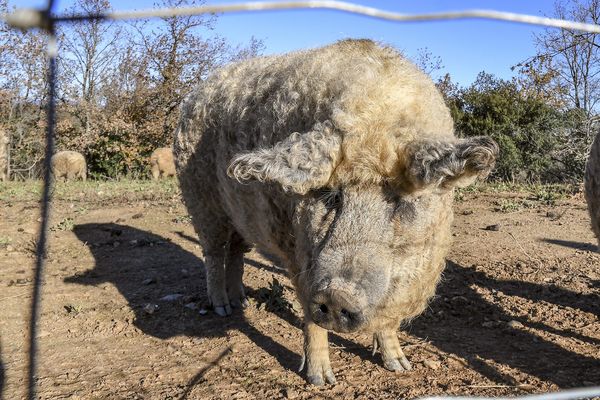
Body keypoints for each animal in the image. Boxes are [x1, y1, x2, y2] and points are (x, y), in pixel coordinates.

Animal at [172, 39, 496, 384]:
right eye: (331, 195)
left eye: (400, 200)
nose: (337, 295)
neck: (376, 106)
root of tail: (194, 94)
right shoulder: (298, 250)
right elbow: (310, 317)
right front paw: (320, 380)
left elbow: (387, 322)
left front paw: (399, 365)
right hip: (201, 201)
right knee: (214, 252)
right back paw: (222, 308)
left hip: (240, 216)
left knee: (235, 252)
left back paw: (241, 300)